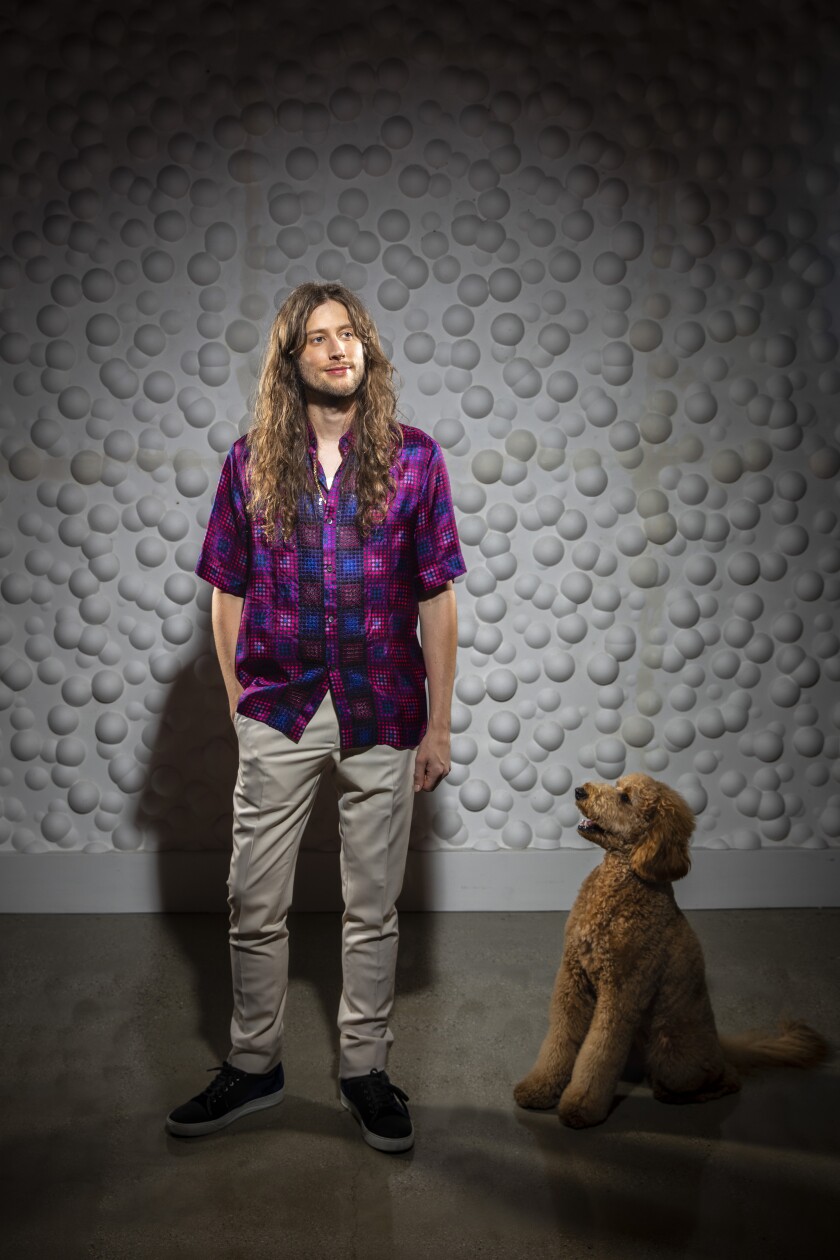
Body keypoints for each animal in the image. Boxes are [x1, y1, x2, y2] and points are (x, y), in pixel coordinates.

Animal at [513, 771, 826, 1128]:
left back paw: (680, 1093)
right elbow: (560, 1037)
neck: (620, 881)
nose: (580, 790)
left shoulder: (621, 994)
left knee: (726, 1078)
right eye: (617, 785)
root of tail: (719, 1047)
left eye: (625, 799)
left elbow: (599, 1053)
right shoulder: (573, 975)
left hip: (670, 1056)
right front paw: (538, 1088)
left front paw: (581, 1106)